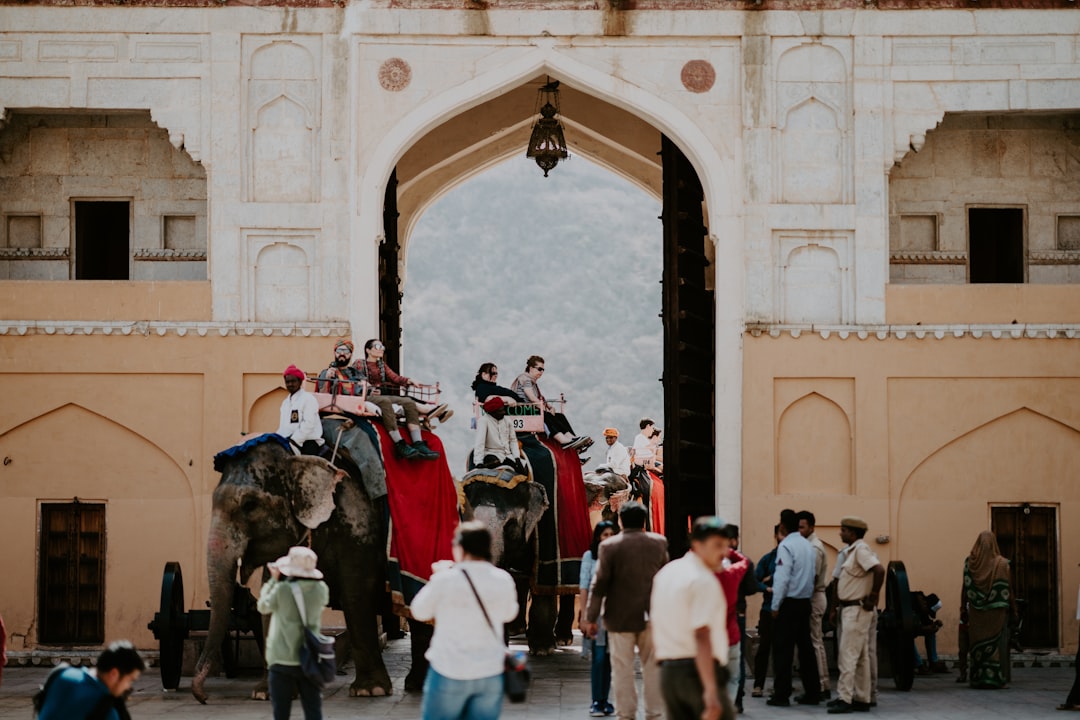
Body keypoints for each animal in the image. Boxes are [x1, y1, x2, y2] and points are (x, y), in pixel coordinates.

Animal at [192, 433, 432, 703]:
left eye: (250, 505)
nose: (202, 698)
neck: (298, 456)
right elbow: (274, 598)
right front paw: (267, 693)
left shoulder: (358, 527)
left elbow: (356, 593)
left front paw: (370, 691)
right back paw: (416, 684)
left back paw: (415, 686)